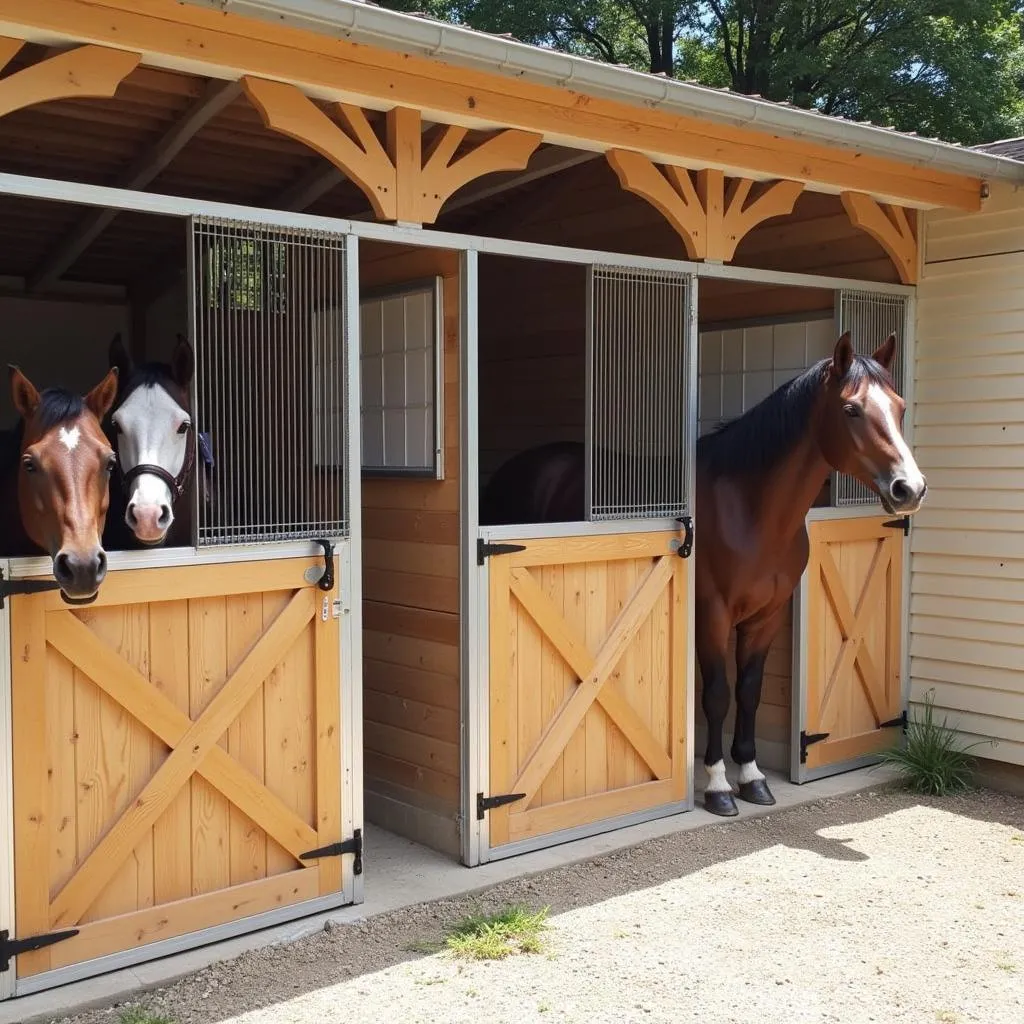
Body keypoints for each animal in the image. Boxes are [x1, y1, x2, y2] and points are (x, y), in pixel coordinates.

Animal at [479, 333, 929, 815]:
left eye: (900, 407)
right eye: (851, 409)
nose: (909, 489)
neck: (749, 510)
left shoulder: (767, 616)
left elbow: (748, 690)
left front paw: (751, 776)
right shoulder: (712, 613)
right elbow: (716, 694)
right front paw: (717, 786)